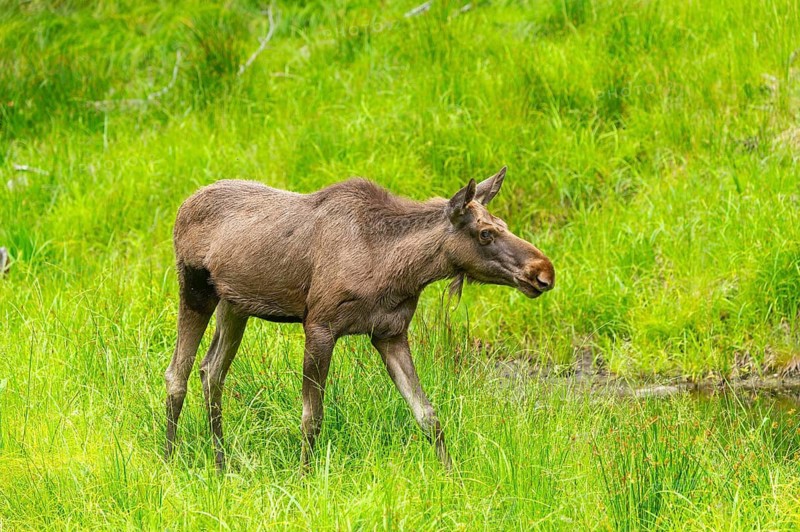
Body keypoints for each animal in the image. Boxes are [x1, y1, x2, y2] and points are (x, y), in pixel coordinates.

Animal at [164, 167, 555, 471]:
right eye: (486, 233)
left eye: (503, 223)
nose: (543, 273)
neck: (400, 270)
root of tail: (182, 206)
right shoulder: (320, 326)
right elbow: (312, 418)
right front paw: (305, 478)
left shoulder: (390, 333)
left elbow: (428, 415)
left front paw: (454, 478)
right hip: (195, 290)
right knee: (177, 373)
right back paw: (170, 460)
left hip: (235, 306)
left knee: (211, 371)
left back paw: (222, 464)